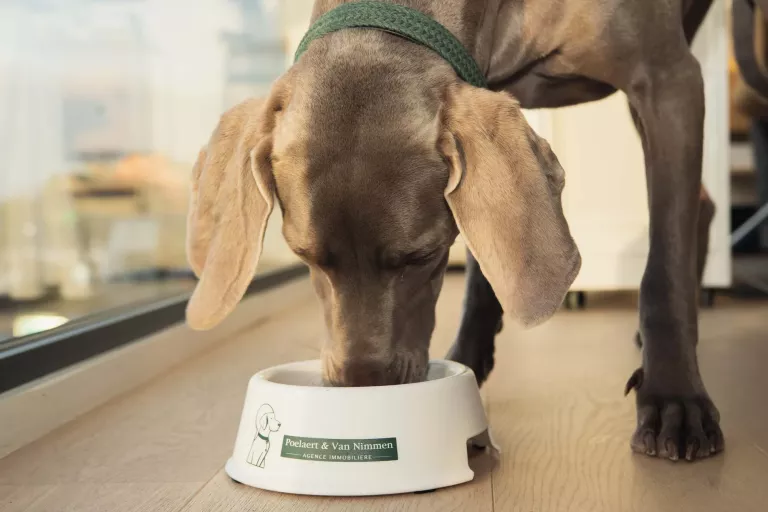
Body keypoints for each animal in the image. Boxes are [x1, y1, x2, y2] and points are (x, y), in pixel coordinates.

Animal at [185, 0, 723, 462]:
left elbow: (664, 268)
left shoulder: (669, 81)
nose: (364, 384)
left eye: (420, 257)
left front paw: (675, 398)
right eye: (306, 257)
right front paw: (467, 358)